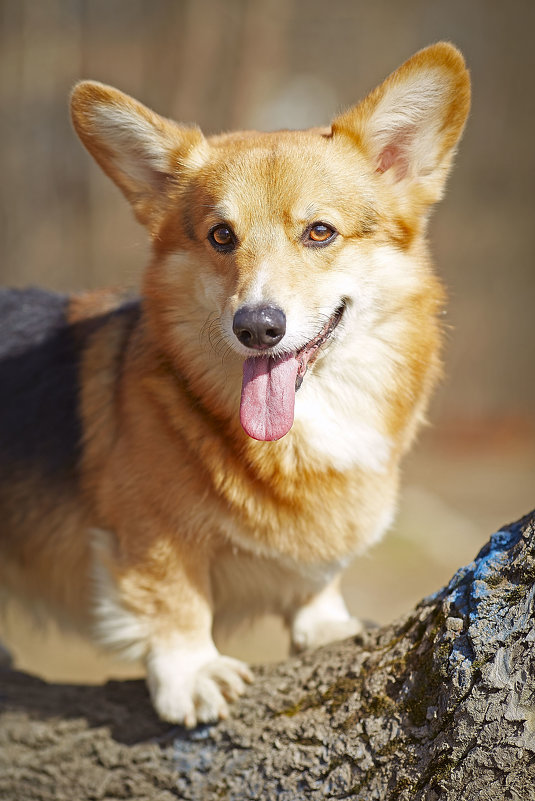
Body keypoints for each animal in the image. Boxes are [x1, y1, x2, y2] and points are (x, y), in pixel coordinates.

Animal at [0, 45, 468, 732]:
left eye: (320, 231)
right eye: (222, 236)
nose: (257, 327)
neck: (308, 421)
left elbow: (317, 583)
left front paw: (325, 623)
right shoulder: (151, 531)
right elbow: (174, 596)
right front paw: (193, 672)